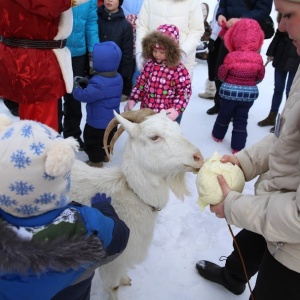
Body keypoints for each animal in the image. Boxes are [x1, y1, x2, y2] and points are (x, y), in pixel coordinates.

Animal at [69, 109, 203, 300]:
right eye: (154, 137)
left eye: (178, 129)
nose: (198, 157)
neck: (132, 192)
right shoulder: (112, 261)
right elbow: (113, 286)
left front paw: (126, 278)